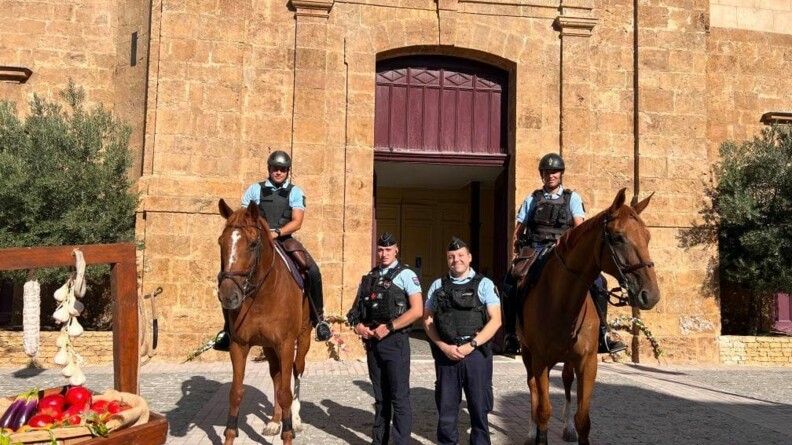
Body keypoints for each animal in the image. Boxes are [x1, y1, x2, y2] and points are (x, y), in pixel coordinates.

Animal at [216, 199, 313, 445]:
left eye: (252, 244)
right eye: (221, 242)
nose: (228, 296)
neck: (262, 295)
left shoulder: (287, 344)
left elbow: (287, 392)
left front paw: (288, 433)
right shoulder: (239, 346)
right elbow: (236, 393)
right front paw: (230, 436)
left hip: (303, 339)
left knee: (296, 372)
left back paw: (295, 419)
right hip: (269, 347)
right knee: (277, 376)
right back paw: (275, 421)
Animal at [517, 188, 660, 445]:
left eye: (647, 237)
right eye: (617, 237)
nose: (651, 295)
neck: (563, 301)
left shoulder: (587, 361)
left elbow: (583, 419)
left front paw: (573, 428)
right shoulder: (540, 359)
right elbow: (543, 410)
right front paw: (538, 432)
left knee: (565, 380)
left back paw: (566, 429)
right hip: (527, 353)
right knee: (533, 386)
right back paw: (532, 432)